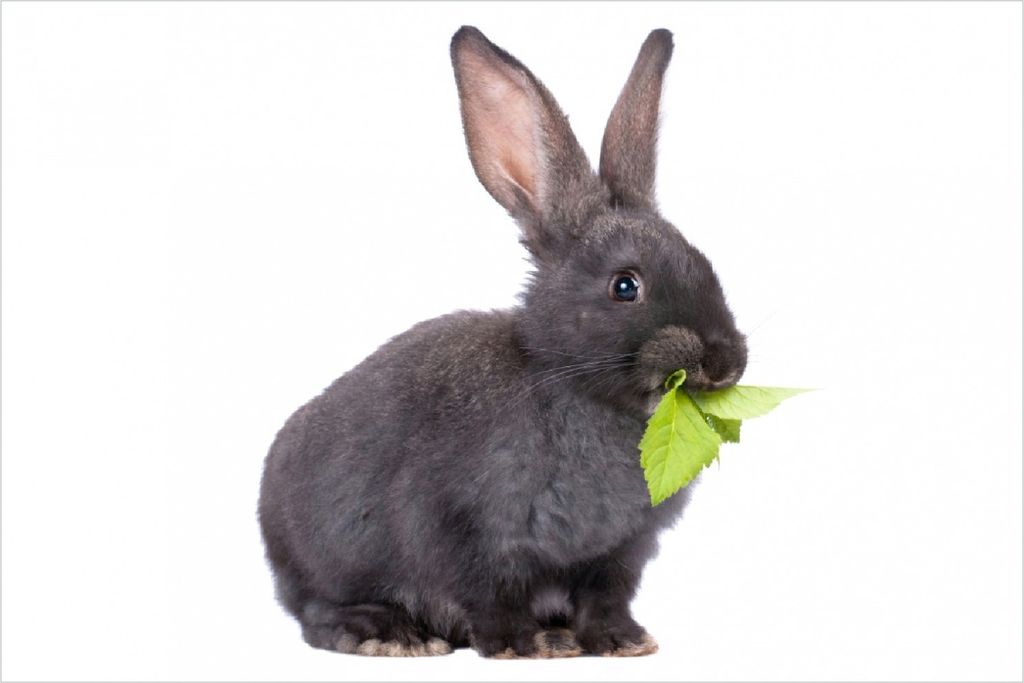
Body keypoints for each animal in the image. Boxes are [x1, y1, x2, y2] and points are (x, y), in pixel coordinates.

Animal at [258, 25, 748, 659]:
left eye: (705, 264)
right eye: (625, 285)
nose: (724, 362)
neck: (572, 385)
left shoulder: (617, 555)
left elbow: (605, 597)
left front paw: (621, 642)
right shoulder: (462, 529)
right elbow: (488, 592)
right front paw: (523, 645)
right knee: (317, 613)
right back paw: (388, 634)